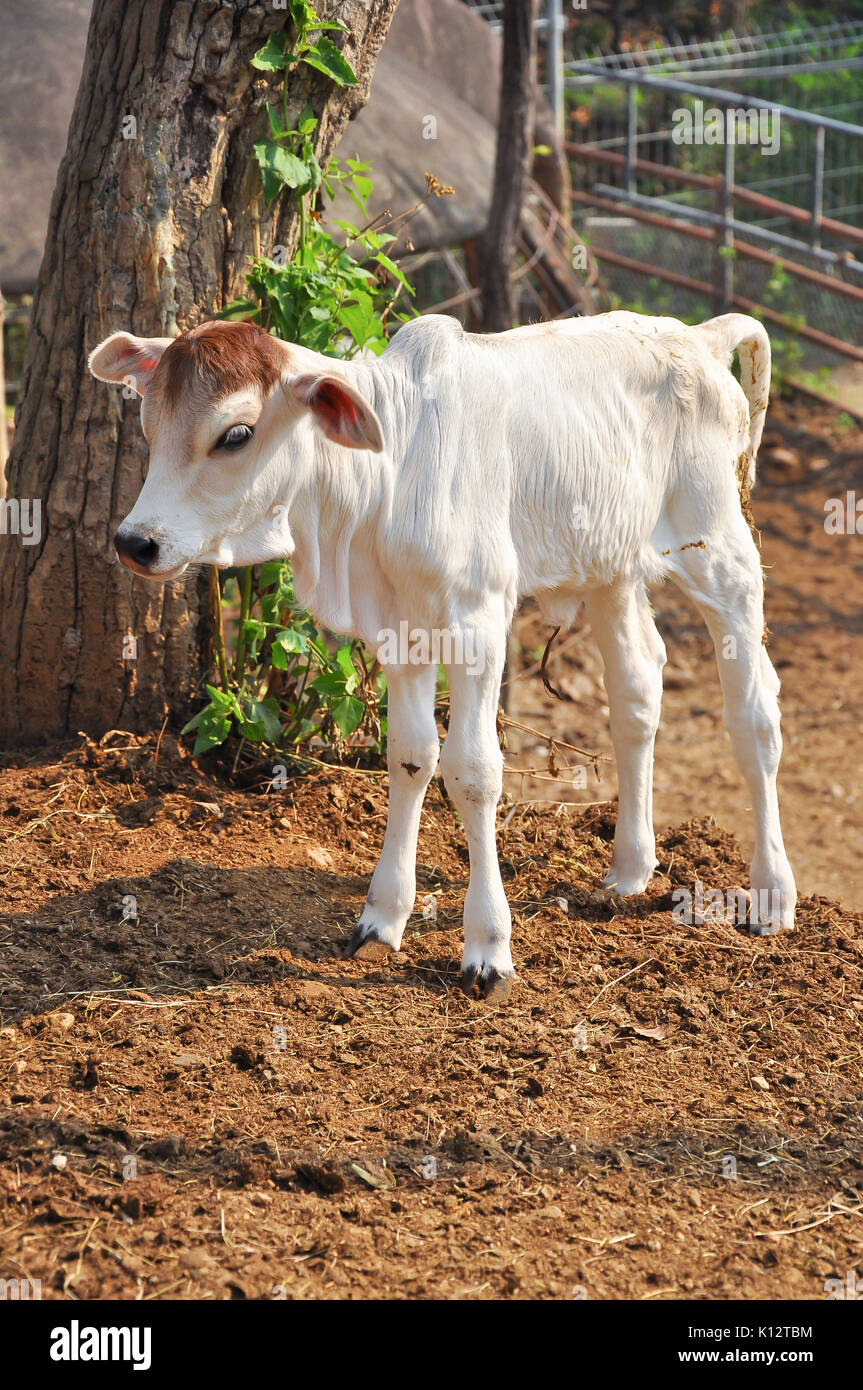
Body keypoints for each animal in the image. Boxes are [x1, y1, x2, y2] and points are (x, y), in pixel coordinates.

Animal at [91, 309, 794, 995]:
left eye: (235, 434)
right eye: (151, 422)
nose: (135, 541)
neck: (388, 475)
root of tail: (696, 336)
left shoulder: (478, 622)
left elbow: (475, 773)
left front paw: (488, 946)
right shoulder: (400, 630)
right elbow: (411, 758)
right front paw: (382, 916)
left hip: (721, 549)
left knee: (755, 716)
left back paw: (772, 892)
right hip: (611, 570)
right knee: (636, 694)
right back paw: (629, 869)